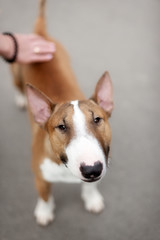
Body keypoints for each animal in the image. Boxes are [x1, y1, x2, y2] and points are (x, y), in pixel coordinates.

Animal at [10, 0, 114, 225]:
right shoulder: (40, 176)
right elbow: (44, 194)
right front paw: (44, 212)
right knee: (17, 85)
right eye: (61, 127)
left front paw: (92, 199)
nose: (92, 169)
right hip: (14, 70)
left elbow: (91, 187)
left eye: (97, 119)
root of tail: (40, 34)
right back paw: (21, 98)